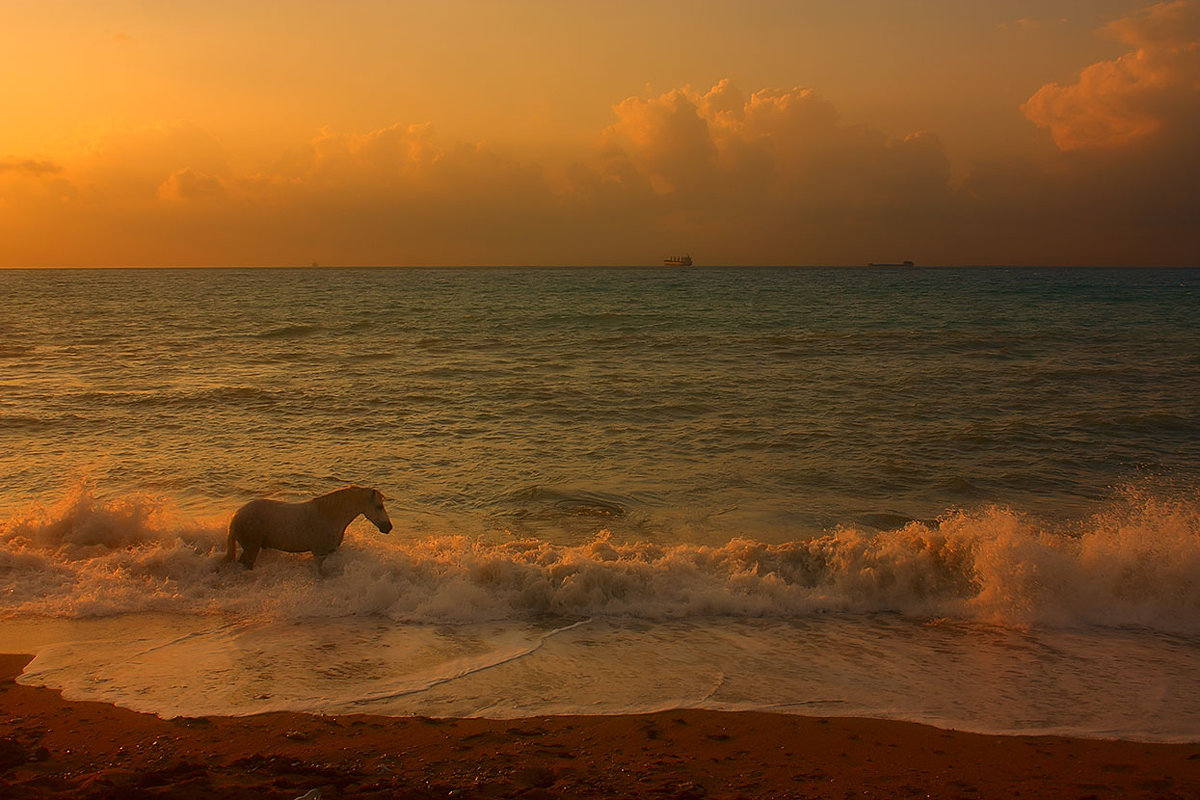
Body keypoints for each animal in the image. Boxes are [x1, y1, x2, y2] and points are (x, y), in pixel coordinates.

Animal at [225, 489, 393, 568]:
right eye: (379, 506)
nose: (388, 527)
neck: (328, 516)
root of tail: (236, 516)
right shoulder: (320, 553)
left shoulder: (331, 551)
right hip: (251, 549)